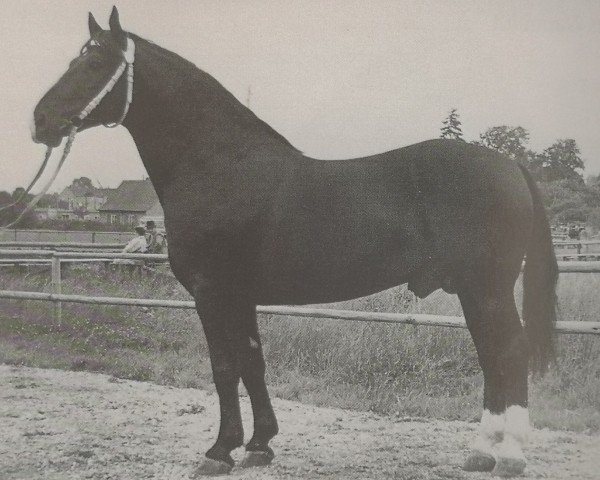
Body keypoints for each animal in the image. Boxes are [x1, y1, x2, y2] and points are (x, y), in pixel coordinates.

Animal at [31, 7, 556, 476]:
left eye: (94, 62)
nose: (40, 121)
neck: (219, 166)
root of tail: (509, 163)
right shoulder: (240, 295)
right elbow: (252, 361)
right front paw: (260, 445)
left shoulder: (211, 291)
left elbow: (224, 367)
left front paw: (219, 451)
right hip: (474, 290)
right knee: (492, 356)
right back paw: (482, 451)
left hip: (486, 288)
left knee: (508, 353)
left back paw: (509, 455)